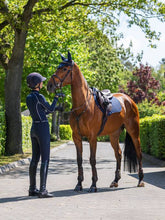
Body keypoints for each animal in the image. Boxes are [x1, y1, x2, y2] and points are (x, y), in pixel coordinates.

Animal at [47, 52, 144, 192]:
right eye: (57, 67)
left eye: (64, 69)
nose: (49, 85)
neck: (83, 106)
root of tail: (129, 100)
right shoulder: (77, 137)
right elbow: (79, 160)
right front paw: (79, 184)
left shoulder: (92, 137)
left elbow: (92, 159)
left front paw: (93, 185)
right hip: (114, 135)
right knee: (118, 154)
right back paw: (115, 181)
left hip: (134, 133)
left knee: (139, 153)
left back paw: (141, 180)